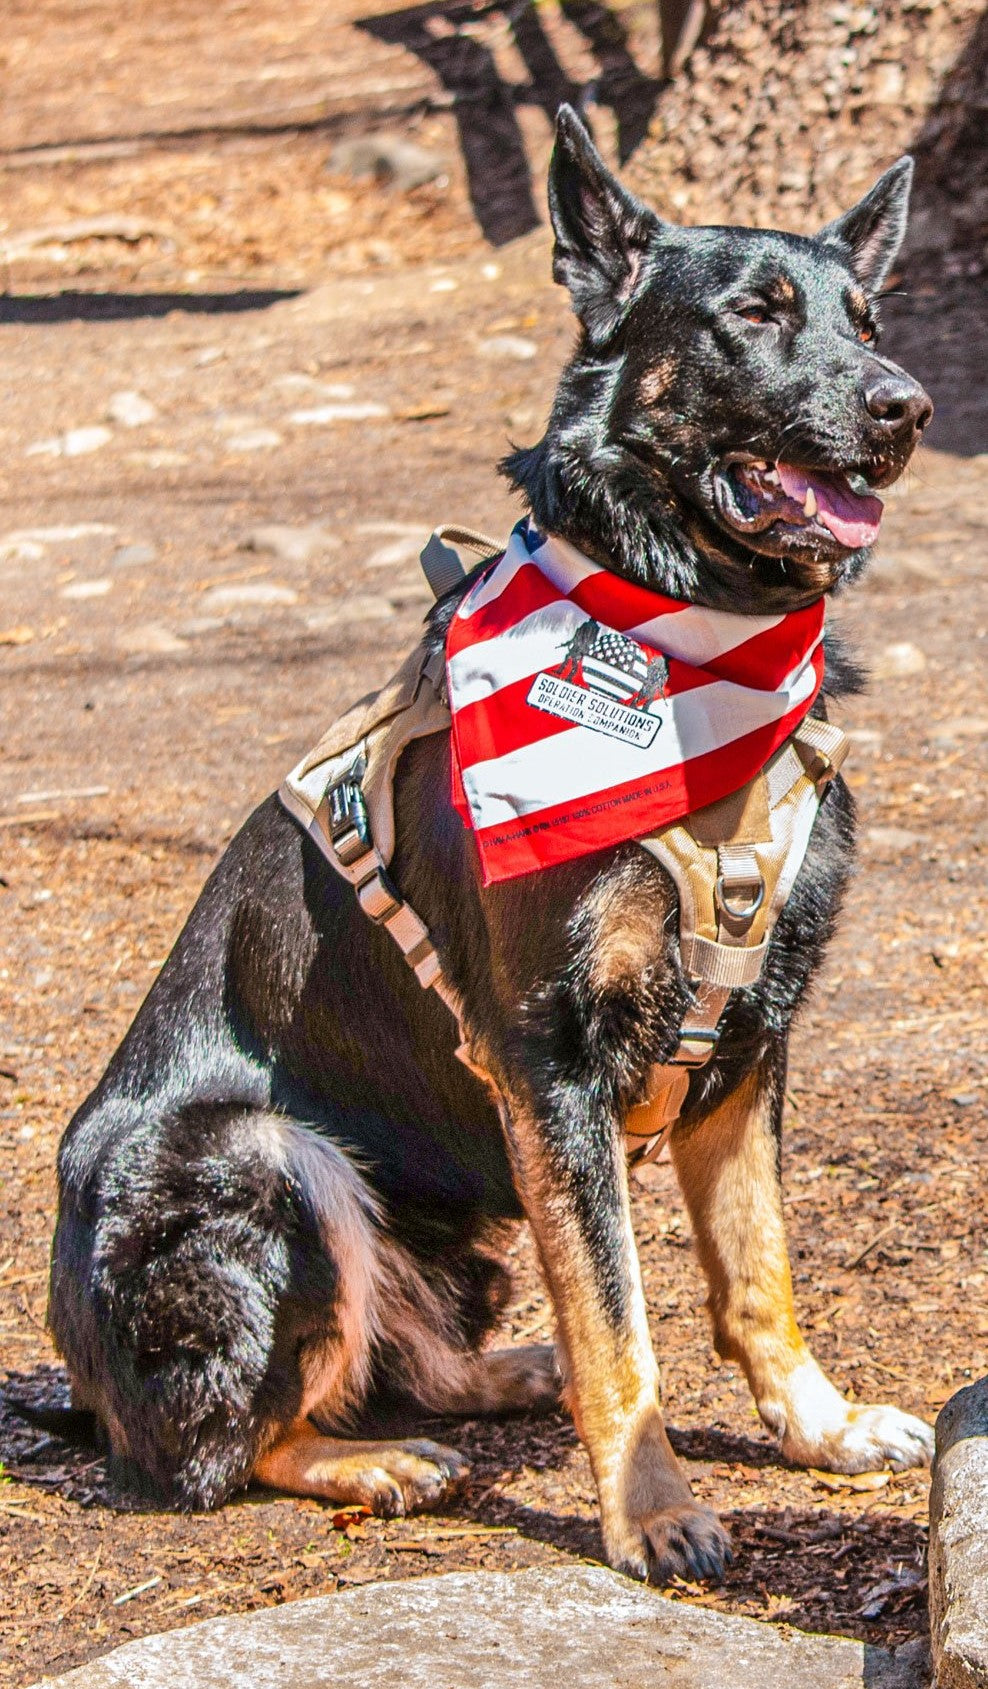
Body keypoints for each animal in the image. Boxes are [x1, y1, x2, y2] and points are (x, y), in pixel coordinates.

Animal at [40, 108, 932, 1580]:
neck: (689, 645)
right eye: (751, 315)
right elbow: (620, 1326)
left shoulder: (753, 1040)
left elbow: (756, 1276)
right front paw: (654, 1510)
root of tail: (73, 1377)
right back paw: (375, 1462)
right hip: (259, 1159)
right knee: (227, 1446)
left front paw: (818, 1423)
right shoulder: (547, 1059)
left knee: (410, 1358)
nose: (905, 406)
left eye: (869, 320)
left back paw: (504, 1374)